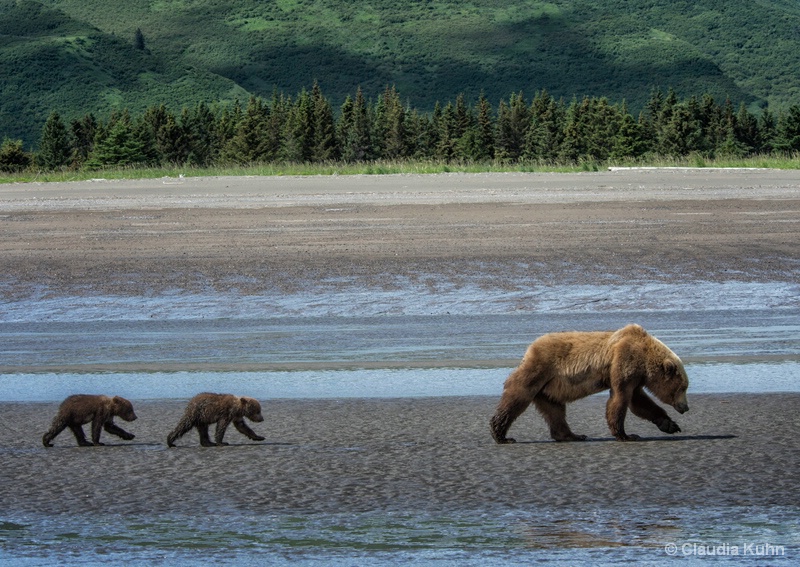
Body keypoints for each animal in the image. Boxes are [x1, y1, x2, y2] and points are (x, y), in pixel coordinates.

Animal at [488, 326, 688, 446]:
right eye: (682, 388)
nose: (685, 407)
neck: (645, 357)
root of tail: (529, 349)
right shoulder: (624, 361)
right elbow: (621, 398)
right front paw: (626, 435)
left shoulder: (636, 376)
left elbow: (638, 401)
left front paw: (669, 424)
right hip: (540, 369)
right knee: (517, 395)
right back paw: (501, 434)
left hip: (548, 389)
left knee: (555, 411)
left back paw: (572, 435)